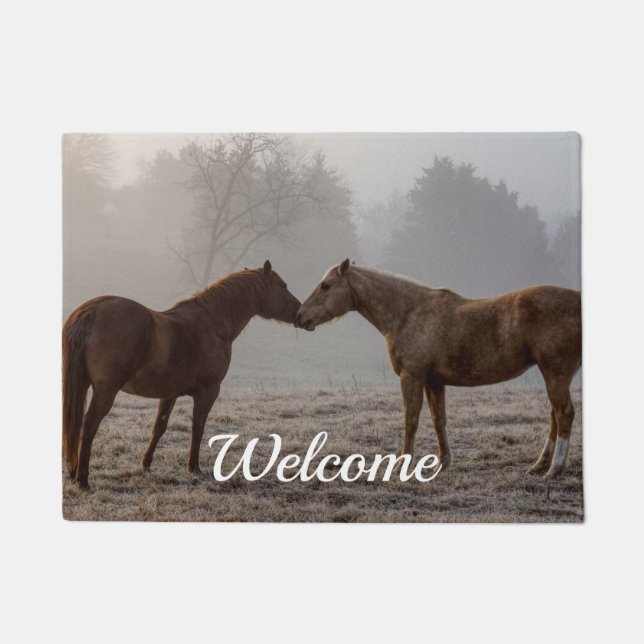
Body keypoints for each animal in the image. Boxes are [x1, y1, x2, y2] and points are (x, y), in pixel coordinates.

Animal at [62, 260, 301, 490]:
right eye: (283, 286)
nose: (300, 313)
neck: (213, 324)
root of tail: (91, 311)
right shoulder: (208, 391)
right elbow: (198, 427)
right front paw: (194, 467)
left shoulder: (170, 393)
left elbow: (159, 427)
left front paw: (145, 463)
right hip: (105, 391)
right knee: (89, 425)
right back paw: (82, 480)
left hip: (81, 385)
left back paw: (74, 474)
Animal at [296, 259, 581, 479]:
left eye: (326, 286)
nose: (299, 317)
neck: (408, 313)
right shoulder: (433, 381)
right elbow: (438, 421)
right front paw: (443, 462)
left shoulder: (411, 377)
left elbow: (410, 421)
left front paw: (401, 466)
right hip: (555, 376)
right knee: (555, 416)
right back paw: (539, 465)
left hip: (555, 374)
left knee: (564, 414)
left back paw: (554, 469)